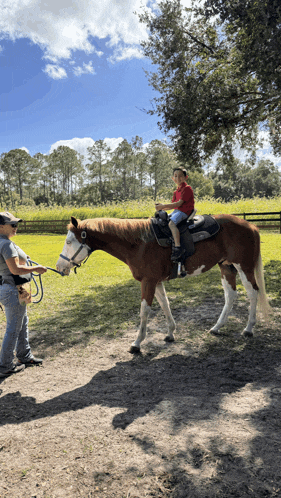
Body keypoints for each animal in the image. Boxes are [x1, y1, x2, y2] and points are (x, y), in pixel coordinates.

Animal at [56, 216, 270, 352]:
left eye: (69, 242)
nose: (59, 267)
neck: (138, 243)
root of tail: (251, 226)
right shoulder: (156, 281)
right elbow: (165, 304)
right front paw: (170, 333)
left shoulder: (148, 282)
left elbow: (144, 311)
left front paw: (137, 343)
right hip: (226, 267)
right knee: (231, 295)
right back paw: (217, 327)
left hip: (244, 267)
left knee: (253, 293)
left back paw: (249, 329)